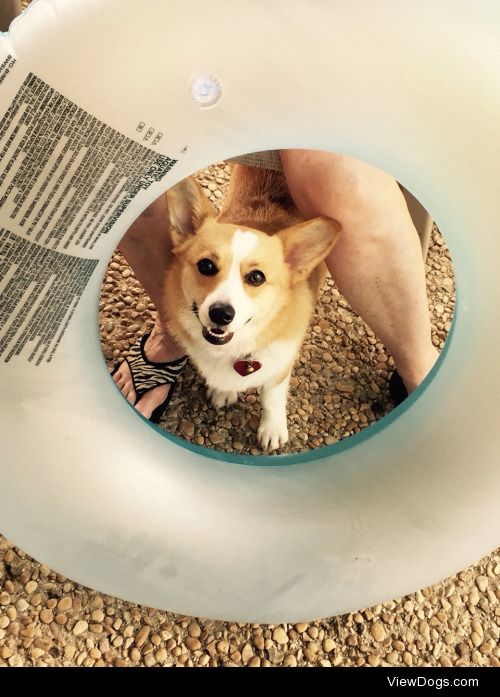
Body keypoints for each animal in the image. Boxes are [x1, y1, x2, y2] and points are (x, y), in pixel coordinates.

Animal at [163, 163, 340, 448]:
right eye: (206, 265)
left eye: (256, 277)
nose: (221, 314)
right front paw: (223, 392)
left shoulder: (279, 367)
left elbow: (271, 398)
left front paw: (272, 430)